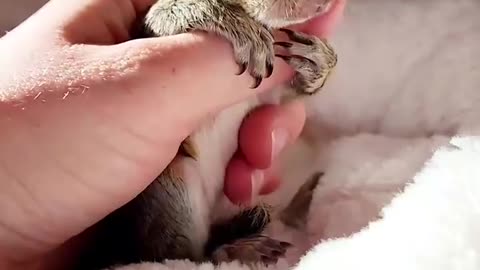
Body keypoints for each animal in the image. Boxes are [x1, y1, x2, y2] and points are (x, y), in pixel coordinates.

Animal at [76, 0, 338, 270]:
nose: (322, 5)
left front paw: (318, 60)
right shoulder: (147, 31)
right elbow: (167, 15)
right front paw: (238, 24)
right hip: (171, 192)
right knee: (185, 255)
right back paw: (238, 250)